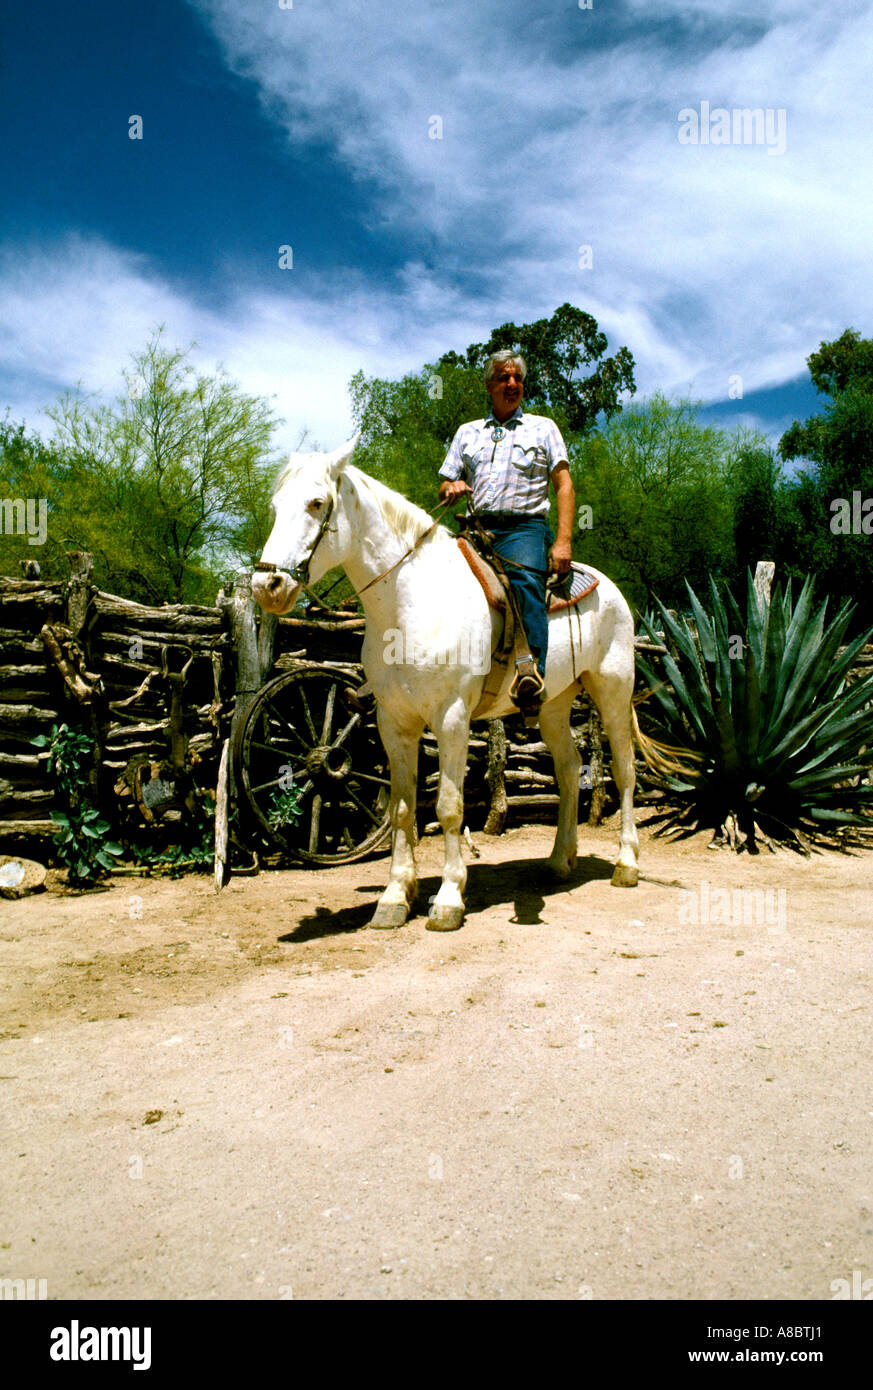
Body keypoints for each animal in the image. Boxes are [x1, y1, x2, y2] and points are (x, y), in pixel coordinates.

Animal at [253, 439, 642, 928]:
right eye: (274, 506)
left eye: (316, 503)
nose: (266, 586)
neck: (412, 602)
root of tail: (607, 586)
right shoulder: (394, 723)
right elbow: (403, 810)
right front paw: (395, 897)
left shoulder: (452, 719)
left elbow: (449, 808)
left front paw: (449, 899)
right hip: (554, 704)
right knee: (570, 770)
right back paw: (559, 860)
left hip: (613, 689)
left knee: (624, 770)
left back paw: (627, 864)